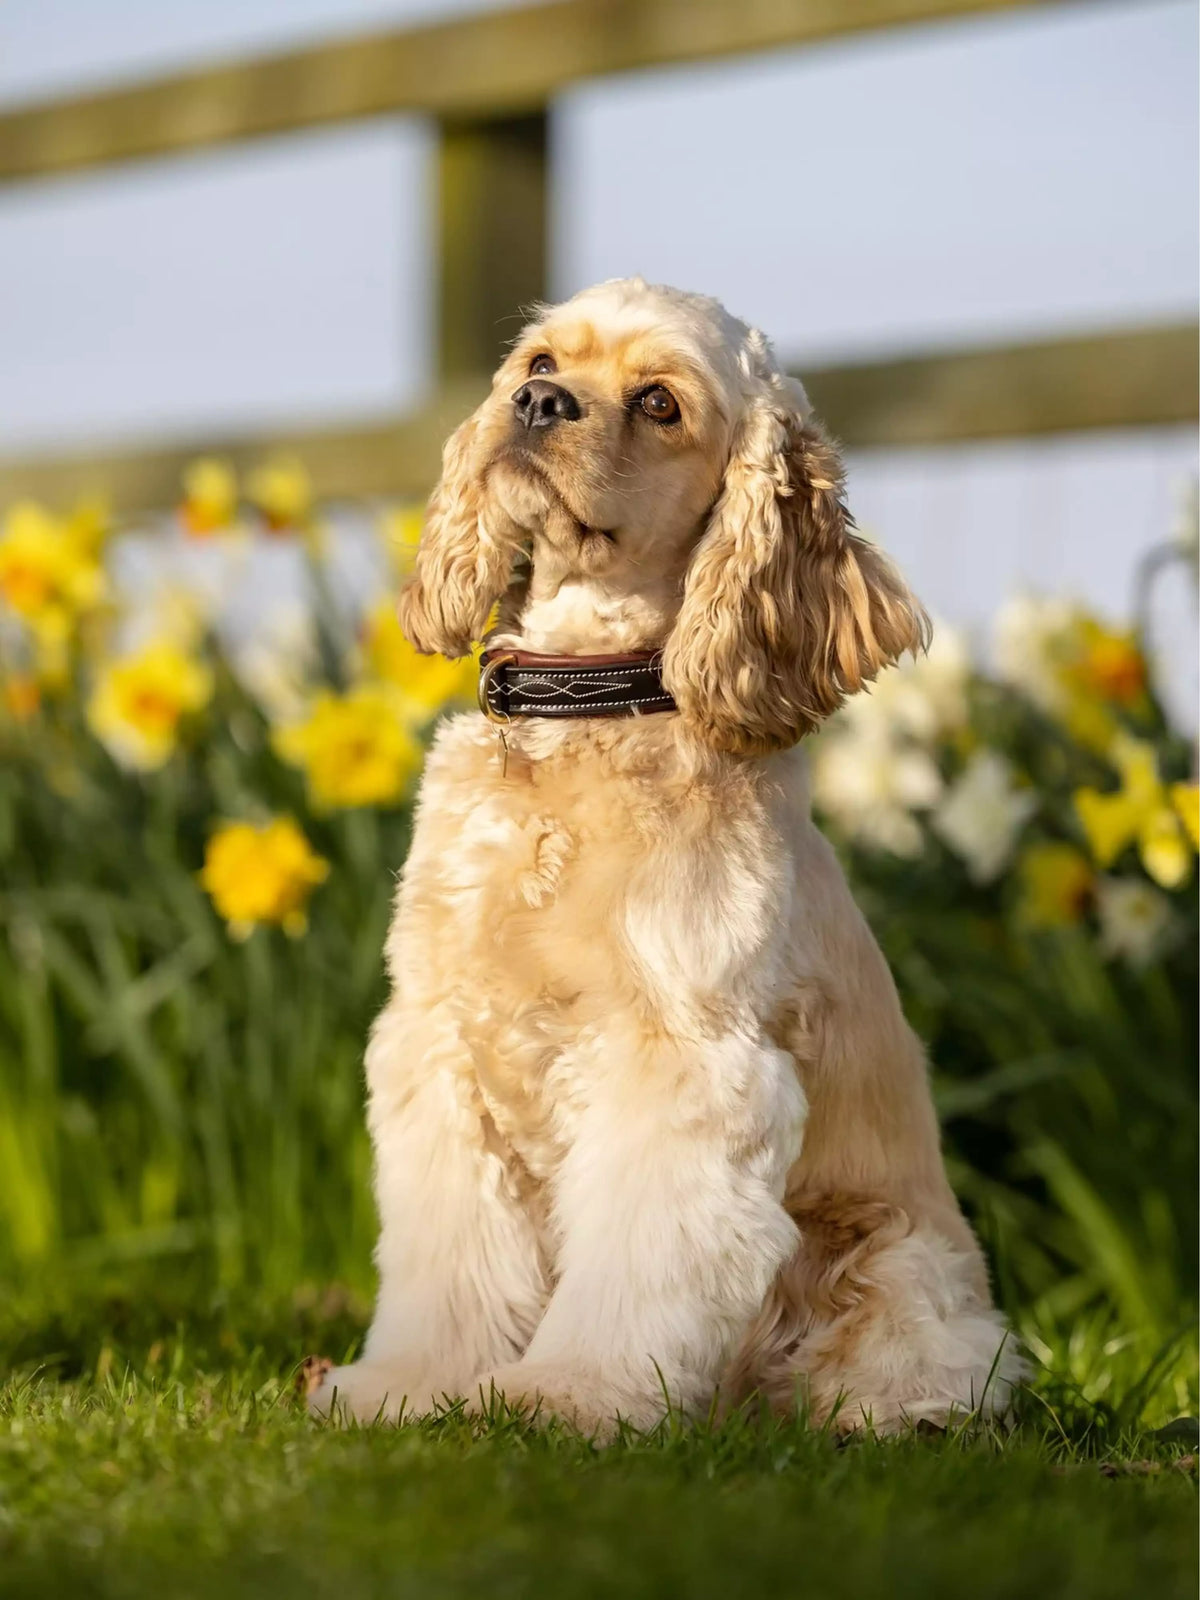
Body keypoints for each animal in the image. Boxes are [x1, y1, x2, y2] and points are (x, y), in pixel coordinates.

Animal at [310, 278, 1024, 1440]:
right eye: (539, 362)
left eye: (659, 402)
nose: (537, 403)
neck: (582, 716)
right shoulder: (439, 1040)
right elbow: (447, 1263)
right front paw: (405, 1388)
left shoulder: (682, 1055)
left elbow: (637, 1267)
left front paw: (567, 1396)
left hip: (898, 1262)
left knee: (939, 1364)